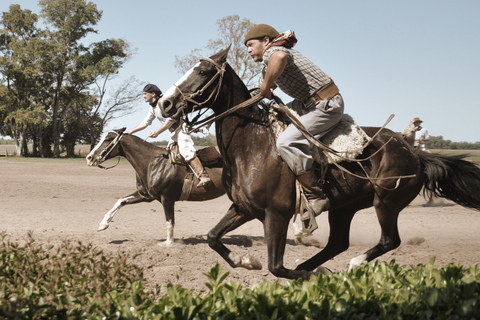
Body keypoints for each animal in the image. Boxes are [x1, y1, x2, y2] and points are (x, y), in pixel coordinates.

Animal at [85, 129, 225, 246]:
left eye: (108, 139)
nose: (89, 158)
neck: (153, 163)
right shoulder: (145, 195)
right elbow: (121, 200)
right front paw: (103, 224)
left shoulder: (167, 198)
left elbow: (170, 221)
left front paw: (168, 243)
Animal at [159, 47, 480, 280]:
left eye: (202, 71)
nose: (165, 103)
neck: (252, 145)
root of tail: (416, 155)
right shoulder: (242, 208)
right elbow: (213, 237)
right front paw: (246, 260)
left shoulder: (276, 214)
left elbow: (276, 267)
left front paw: (312, 273)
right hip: (345, 207)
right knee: (338, 243)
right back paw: (317, 265)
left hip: (386, 203)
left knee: (389, 241)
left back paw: (352, 265)